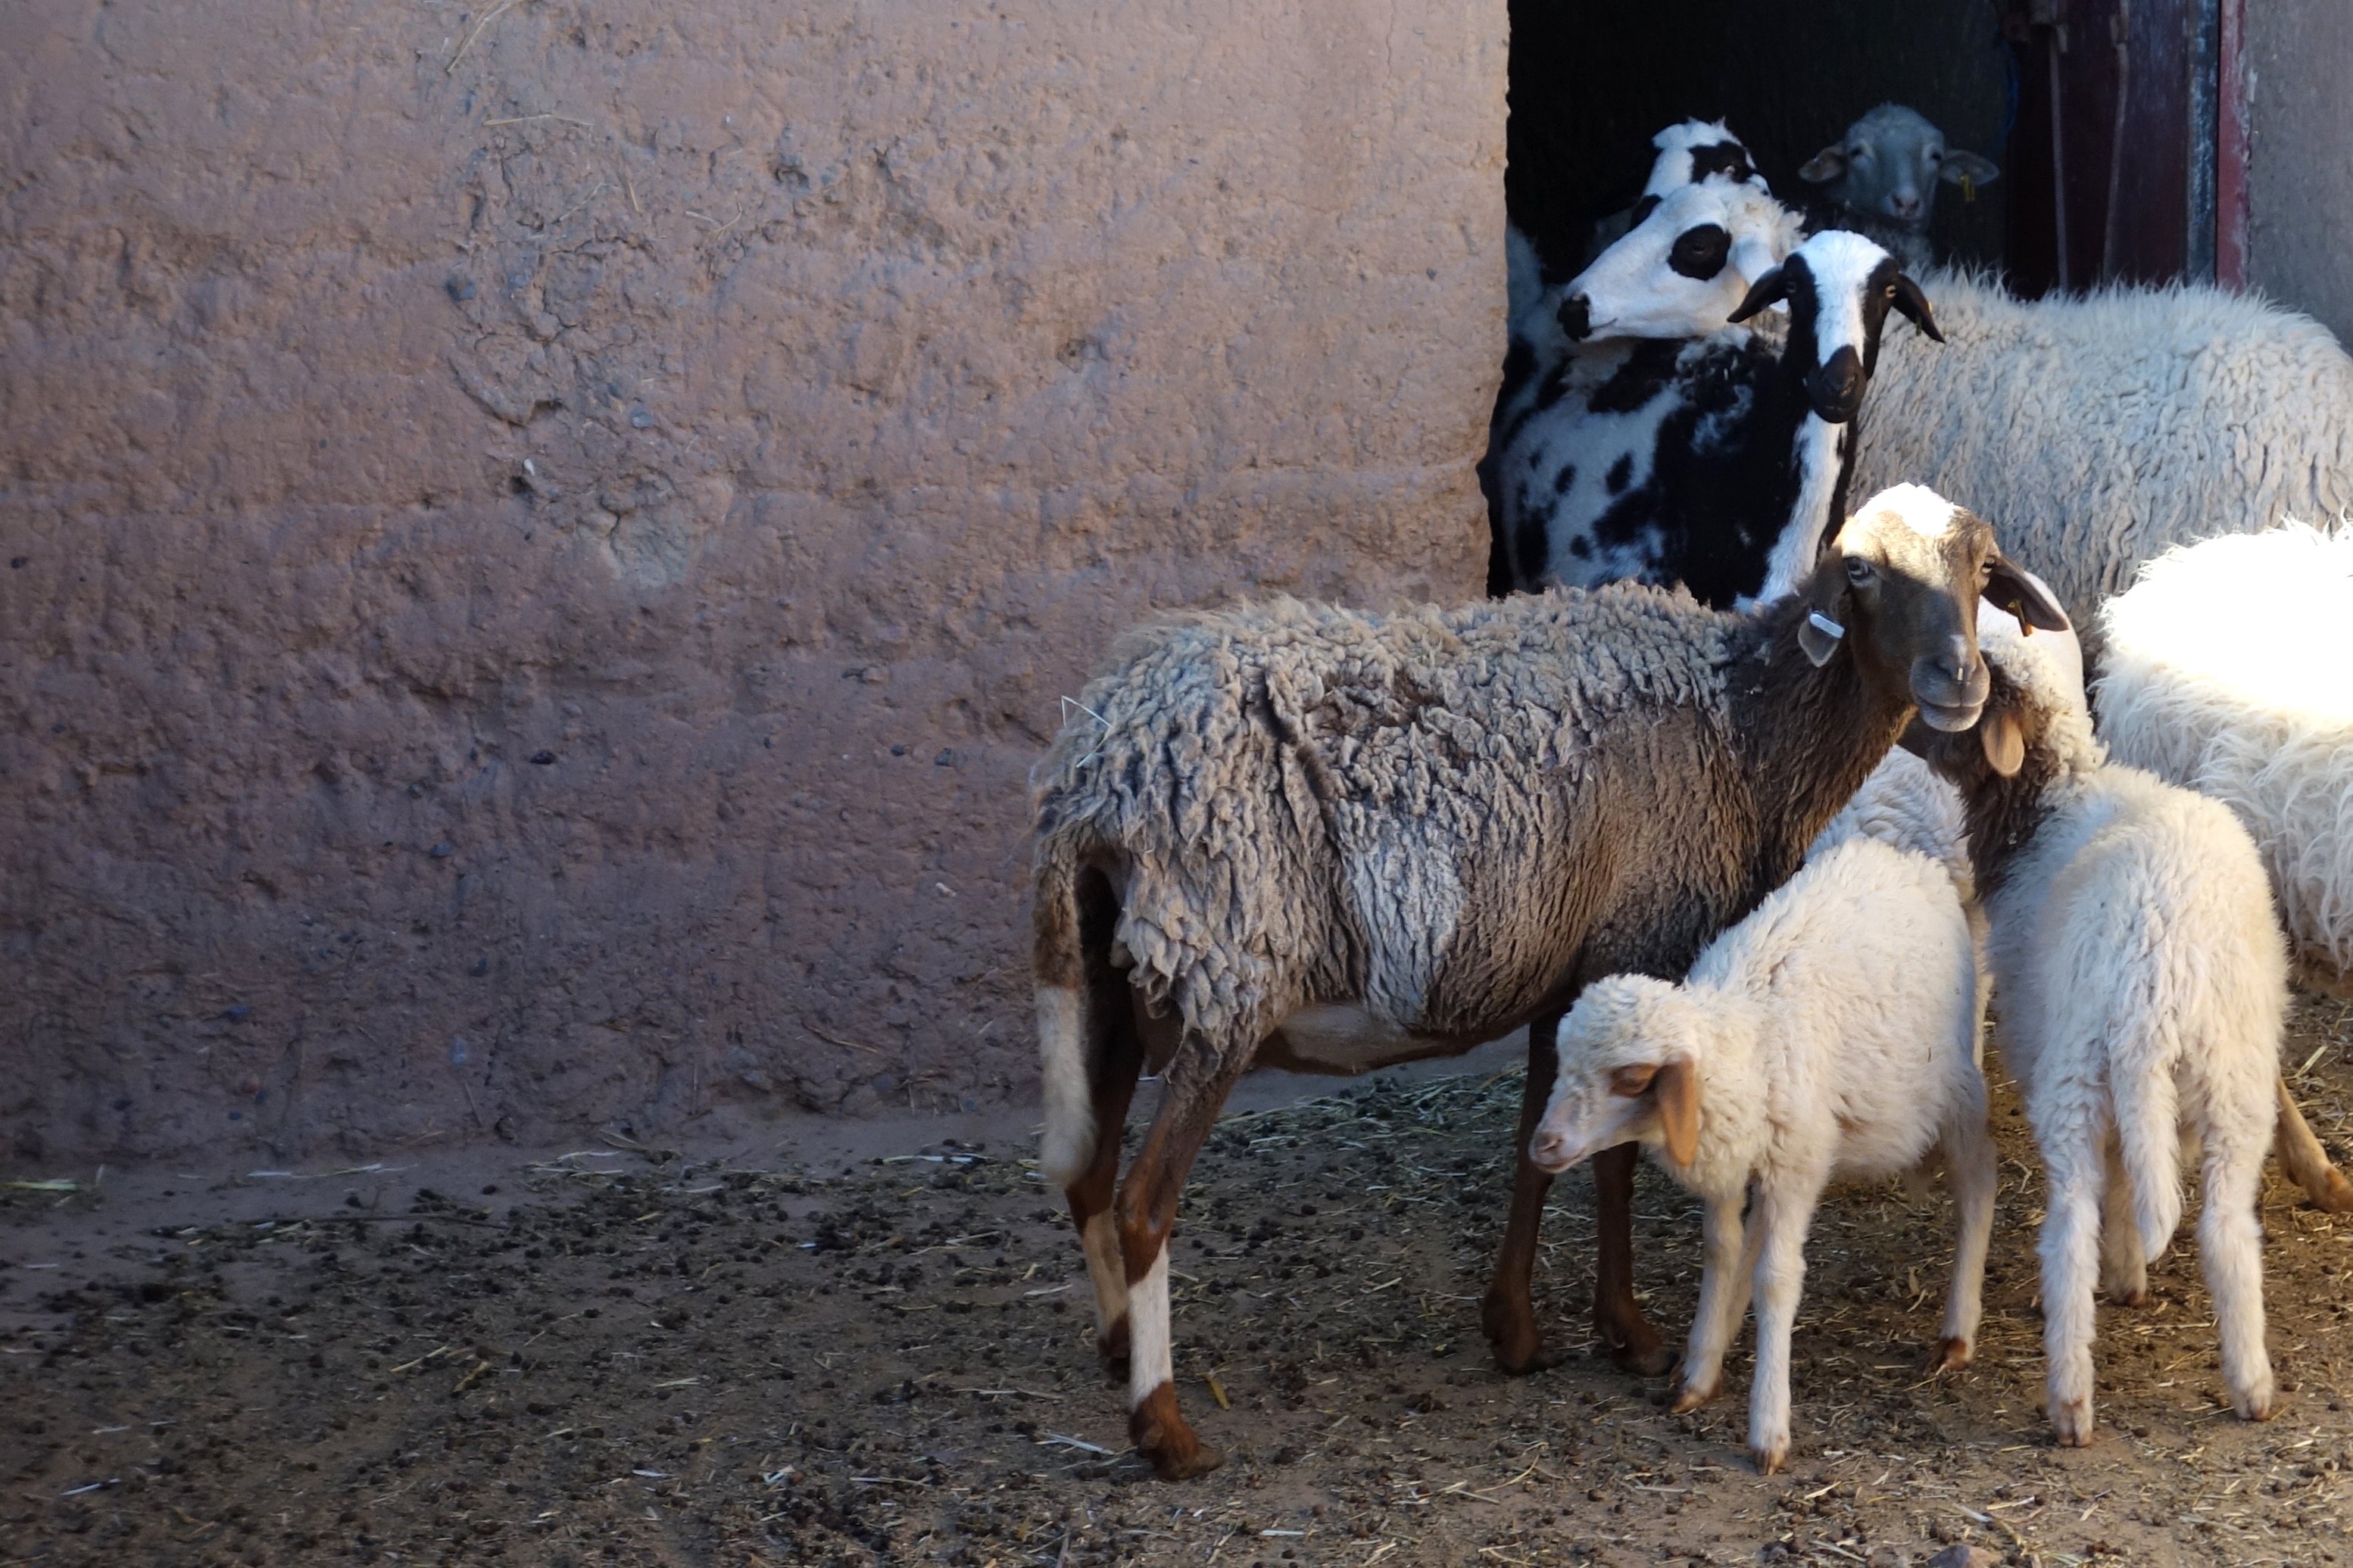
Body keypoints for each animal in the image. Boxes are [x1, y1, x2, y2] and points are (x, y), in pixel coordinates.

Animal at [1527, 832, 1995, 1474]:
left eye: (1631, 1078)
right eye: (1563, 1060)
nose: (1542, 1144)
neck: (1749, 1036)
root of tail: (1904, 857)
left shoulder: (1796, 1164)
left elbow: (1777, 1276)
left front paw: (1767, 1426)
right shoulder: (1730, 1159)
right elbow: (1721, 1248)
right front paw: (1699, 1370)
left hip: (1956, 1085)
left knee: (1977, 1185)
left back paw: (1957, 1332)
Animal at [1907, 613, 2288, 1445]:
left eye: (1961, 696)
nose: (1896, 727)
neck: (2047, 803)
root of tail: (2156, 970)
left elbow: (2117, 1179)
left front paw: (2123, 1272)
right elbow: (2142, 1170)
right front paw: (2133, 1268)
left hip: (2073, 1074)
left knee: (2068, 1228)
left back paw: (2070, 1399)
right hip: (2232, 1077)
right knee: (2225, 1228)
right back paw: (2250, 1385)